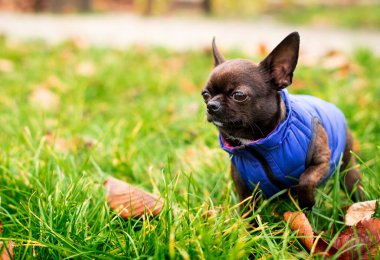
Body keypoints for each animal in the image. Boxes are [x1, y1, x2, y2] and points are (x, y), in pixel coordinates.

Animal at [202, 31, 362, 210]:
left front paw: (306, 202)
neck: (255, 144)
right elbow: (247, 209)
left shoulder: (322, 162)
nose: (211, 105)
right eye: (205, 94)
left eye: (239, 95)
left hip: (347, 167)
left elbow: (305, 180)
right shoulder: (243, 185)